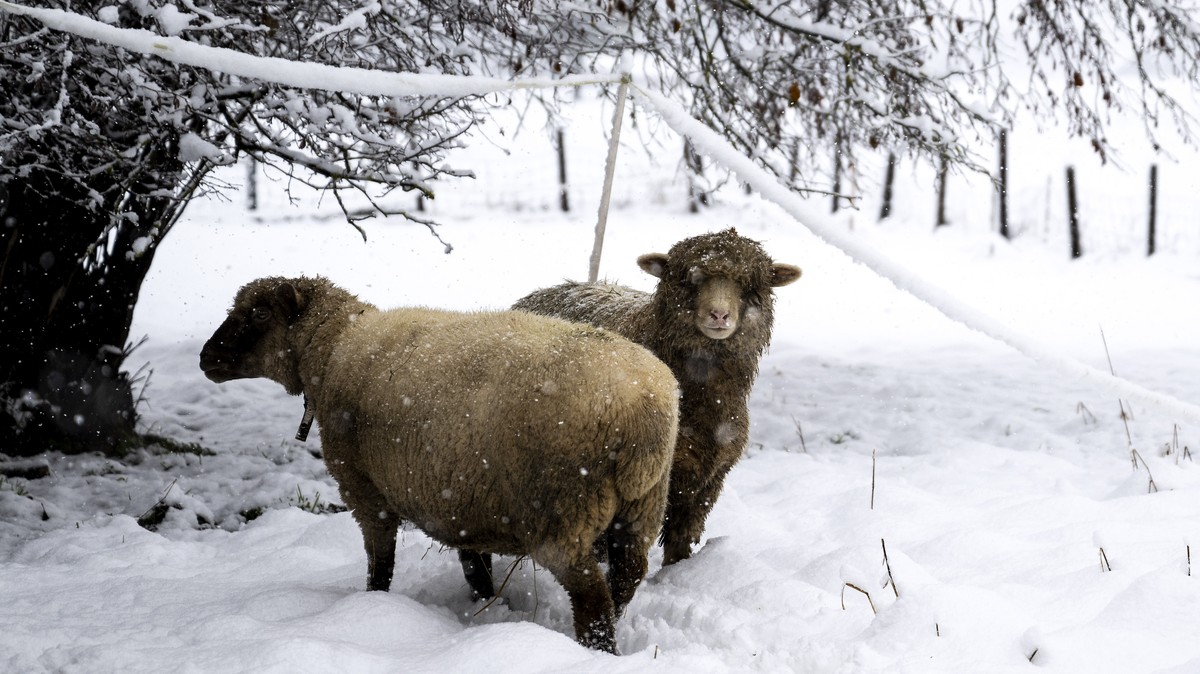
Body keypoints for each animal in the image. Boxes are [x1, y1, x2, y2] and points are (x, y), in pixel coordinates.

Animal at [198, 276, 679, 653]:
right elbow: (475, 567)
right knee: (626, 578)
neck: (334, 349)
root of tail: (643, 410)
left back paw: (597, 652)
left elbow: (380, 563)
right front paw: (484, 605)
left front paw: (372, 608)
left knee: (593, 600)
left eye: (260, 314)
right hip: (641, 510)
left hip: (562, 515)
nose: (206, 357)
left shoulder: (365, 490)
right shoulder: (464, 496)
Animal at [511, 228, 800, 566]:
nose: (719, 314)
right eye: (691, 279)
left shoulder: (708, 480)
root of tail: (548, 289)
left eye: (748, 285)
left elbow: (680, 540)